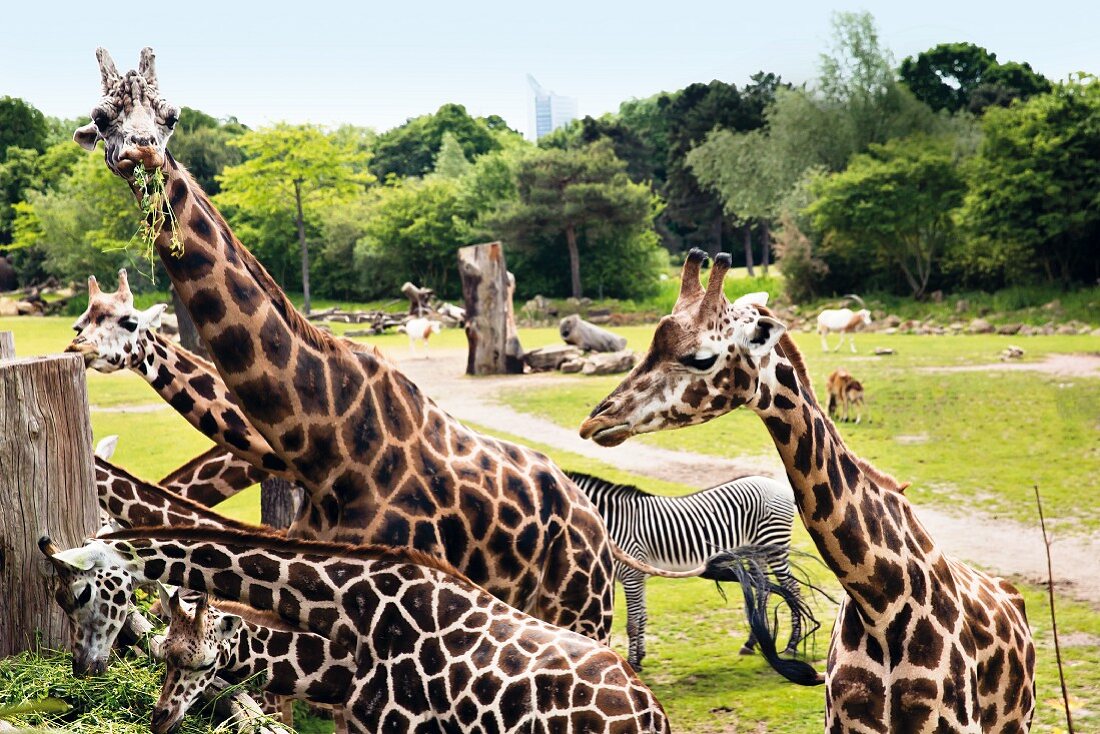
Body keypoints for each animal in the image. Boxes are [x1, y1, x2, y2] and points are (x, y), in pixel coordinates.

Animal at [563, 470, 805, 673]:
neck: (613, 524)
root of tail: (778, 486)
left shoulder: (632, 576)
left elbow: (632, 623)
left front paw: (632, 663)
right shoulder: (636, 577)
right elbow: (641, 617)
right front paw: (639, 657)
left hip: (774, 545)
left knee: (793, 589)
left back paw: (792, 644)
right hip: (757, 553)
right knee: (764, 590)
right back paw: (750, 643)